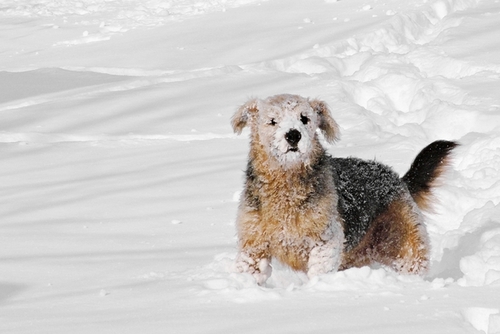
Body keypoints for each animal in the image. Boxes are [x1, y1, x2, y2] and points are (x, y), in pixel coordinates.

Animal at [230, 94, 458, 284]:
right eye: (272, 121)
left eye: (305, 118)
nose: (293, 135)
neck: (286, 185)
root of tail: (397, 179)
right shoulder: (254, 243)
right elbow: (250, 268)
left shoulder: (326, 240)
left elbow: (320, 269)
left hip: (405, 244)